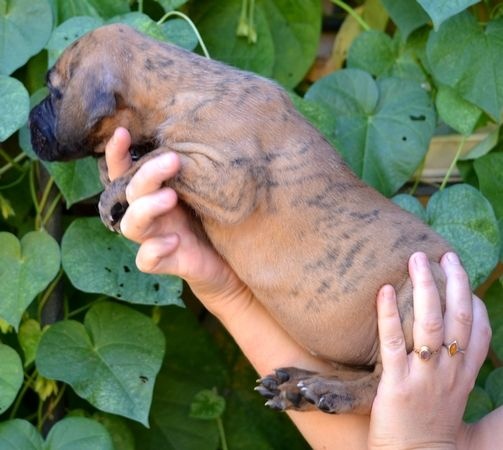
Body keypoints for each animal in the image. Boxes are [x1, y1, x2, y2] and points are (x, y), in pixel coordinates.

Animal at [29, 22, 450, 414]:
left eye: (53, 91)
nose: (29, 123)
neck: (180, 89)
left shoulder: (227, 179)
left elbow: (161, 156)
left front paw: (115, 188)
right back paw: (296, 386)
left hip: (418, 292)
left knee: (383, 381)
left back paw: (329, 391)